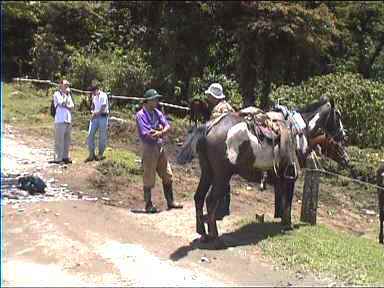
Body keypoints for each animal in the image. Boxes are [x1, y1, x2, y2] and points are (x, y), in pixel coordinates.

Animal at [177, 96, 348, 241]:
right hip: (221, 176)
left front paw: (280, 219)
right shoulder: (290, 178)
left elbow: (282, 201)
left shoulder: (280, 179)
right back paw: (214, 235)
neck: (300, 132)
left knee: (199, 197)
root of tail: (209, 126)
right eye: (338, 116)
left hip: (207, 172)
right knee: (211, 200)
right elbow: (288, 201)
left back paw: (202, 231)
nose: (344, 136)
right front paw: (288, 224)